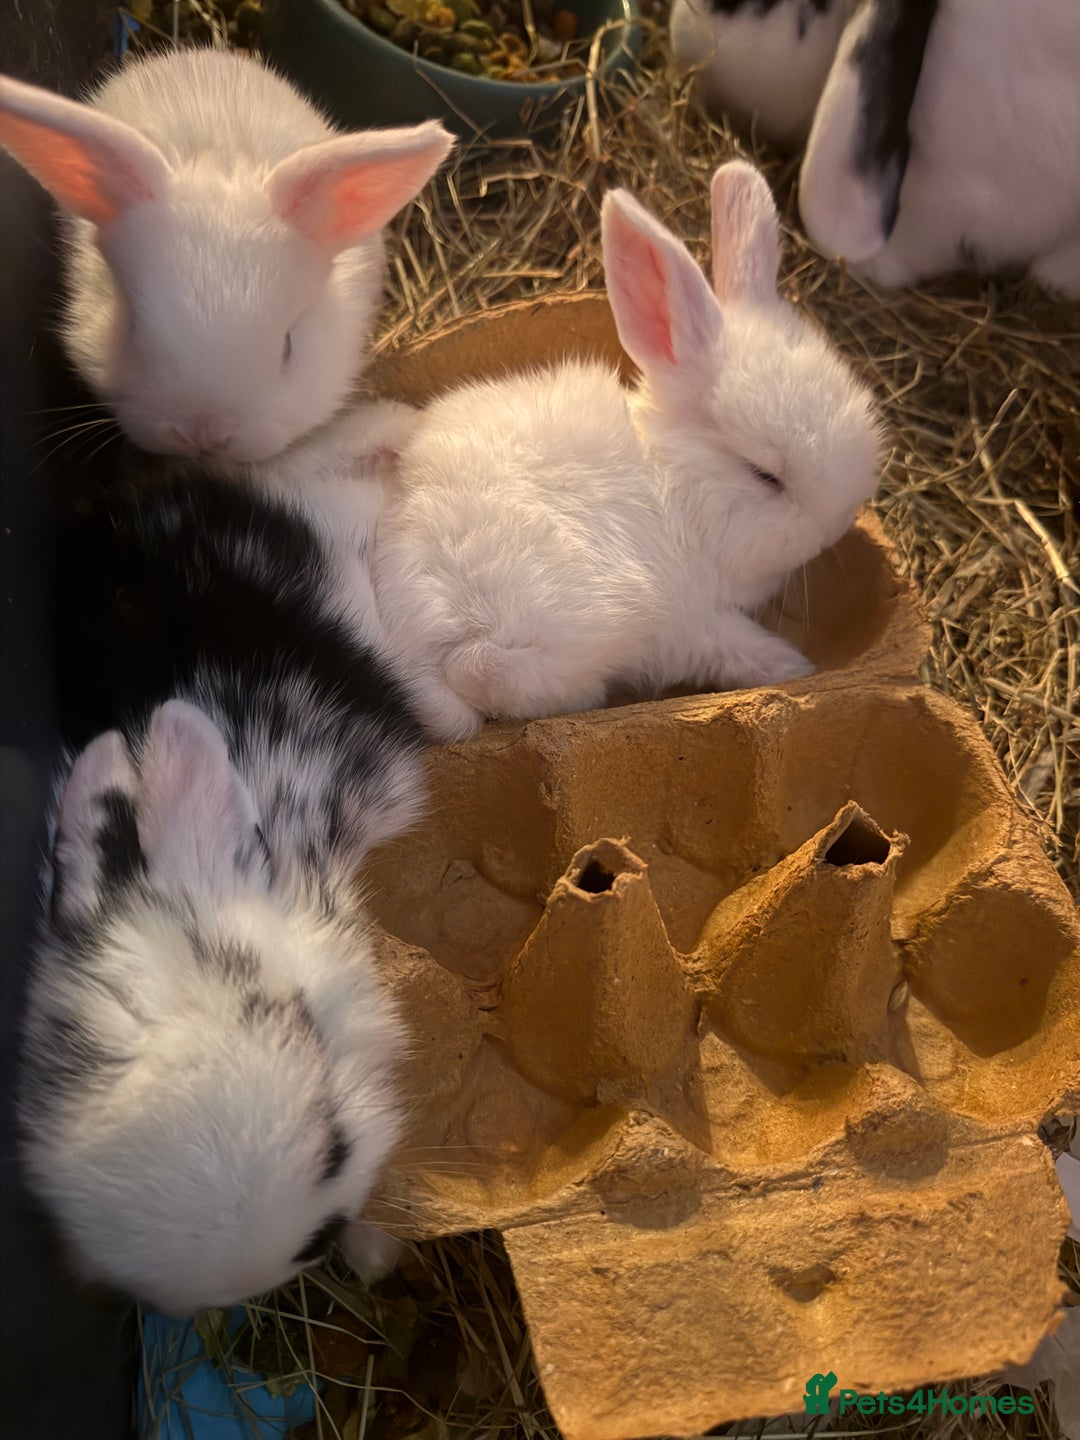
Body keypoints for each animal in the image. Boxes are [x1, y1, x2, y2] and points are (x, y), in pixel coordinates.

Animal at [371, 160, 884, 742]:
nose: (836, 526)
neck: (675, 485)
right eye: (765, 475)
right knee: (484, 670)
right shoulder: (695, 619)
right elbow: (736, 647)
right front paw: (794, 666)